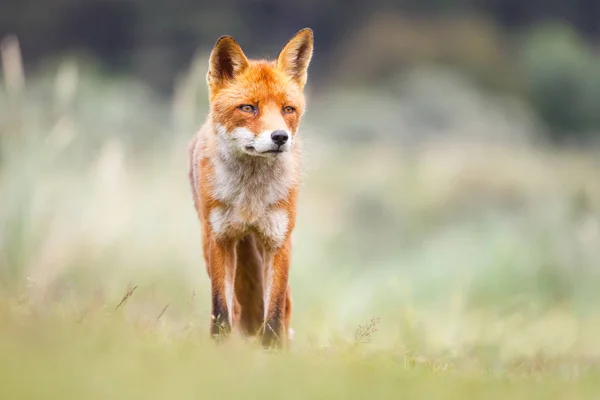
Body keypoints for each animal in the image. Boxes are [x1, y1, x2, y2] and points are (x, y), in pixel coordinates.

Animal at [188, 28, 314, 348]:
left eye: (287, 109)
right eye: (248, 108)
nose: (280, 137)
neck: (250, 198)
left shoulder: (278, 241)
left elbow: (274, 313)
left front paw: (272, 351)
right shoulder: (219, 239)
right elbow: (221, 310)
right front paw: (219, 349)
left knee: (284, 309)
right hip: (213, 245)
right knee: (235, 305)